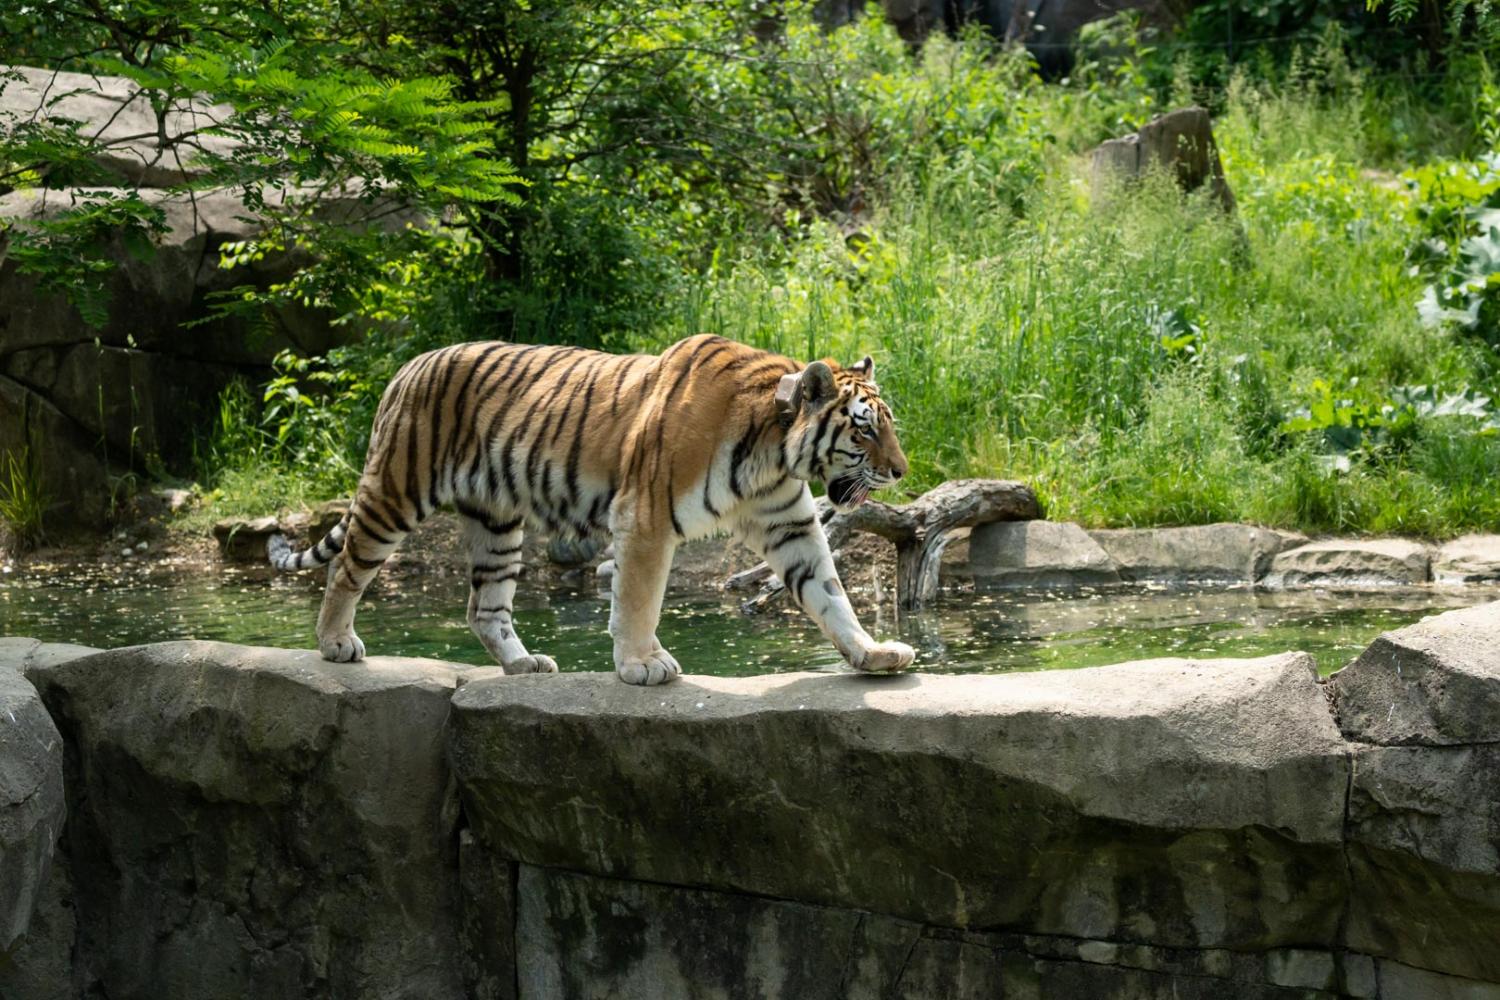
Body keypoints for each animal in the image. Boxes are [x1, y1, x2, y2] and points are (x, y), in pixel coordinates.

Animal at [267, 332, 912, 683]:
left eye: (889, 426)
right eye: (864, 430)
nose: (903, 471)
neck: (774, 451)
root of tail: (405, 369)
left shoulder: (790, 525)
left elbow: (830, 594)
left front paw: (872, 653)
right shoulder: (646, 517)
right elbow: (637, 600)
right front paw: (641, 665)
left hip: (497, 521)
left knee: (485, 607)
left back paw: (523, 665)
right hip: (396, 492)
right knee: (346, 567)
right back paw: (335, 643)